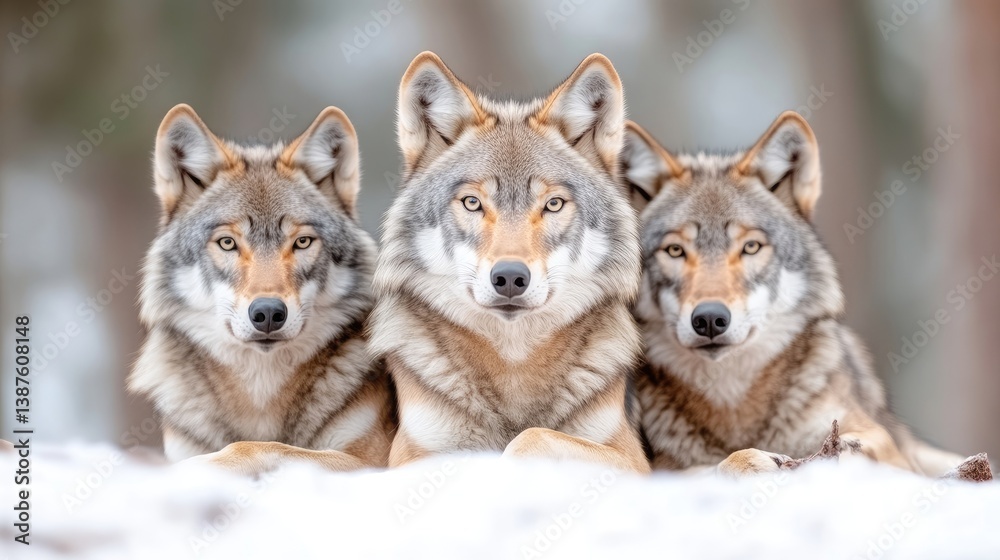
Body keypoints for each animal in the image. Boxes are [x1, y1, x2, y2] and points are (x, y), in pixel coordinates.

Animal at [128, 104, 395, 474]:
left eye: (302, 242)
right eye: (227, 243)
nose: (268, 312)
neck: (261, 395)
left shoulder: (373, 462)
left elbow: (256, 446)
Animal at [368, 52, 649, 473]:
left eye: (553, 204)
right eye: (472, 202)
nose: (511, 278)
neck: (513, 364)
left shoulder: (633, 460)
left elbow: (528, 437)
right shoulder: (412, 455)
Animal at [621, 112, 966, 476]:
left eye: (751, 247)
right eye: (674, 250)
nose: (710, 319)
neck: (734, 405)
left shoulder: (884, 445)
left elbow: (848, 449)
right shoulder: (662, 467)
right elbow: (717, 465)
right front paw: (753, 461)